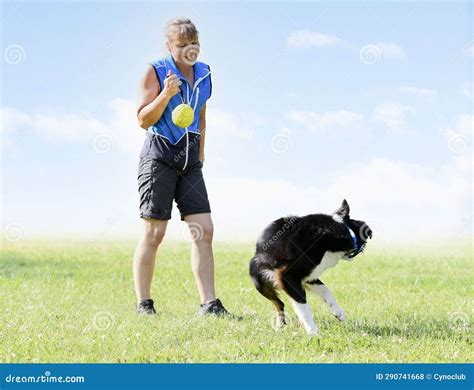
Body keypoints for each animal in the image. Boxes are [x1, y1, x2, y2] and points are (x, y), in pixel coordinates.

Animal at [250, 201, 372, 336]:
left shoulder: (308, 277)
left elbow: (326, 290)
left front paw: (338, 313)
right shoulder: (288, 275)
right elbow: (303, 305)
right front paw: (313, 331)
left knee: (280, 303)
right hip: (259, 281)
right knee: (279, 303)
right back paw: (280, 324)